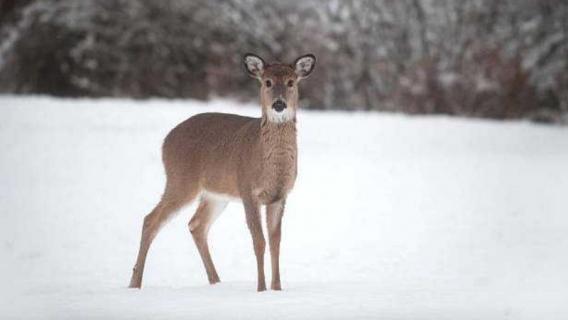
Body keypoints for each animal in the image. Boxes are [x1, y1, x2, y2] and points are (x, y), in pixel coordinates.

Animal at [127, 53, 316, 292]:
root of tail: (165, 141)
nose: (279, 104)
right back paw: (135, 283)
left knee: (196, 225)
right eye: (267, 82)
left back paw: (215, 281)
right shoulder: (247, 190)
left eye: (291, 82)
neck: (271, 168)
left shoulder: (279, 196)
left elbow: (276, 242)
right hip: (181, 180)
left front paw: (277, 288)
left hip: (215, 194)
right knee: (150, 220)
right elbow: (259, 241)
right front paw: (261, 288)